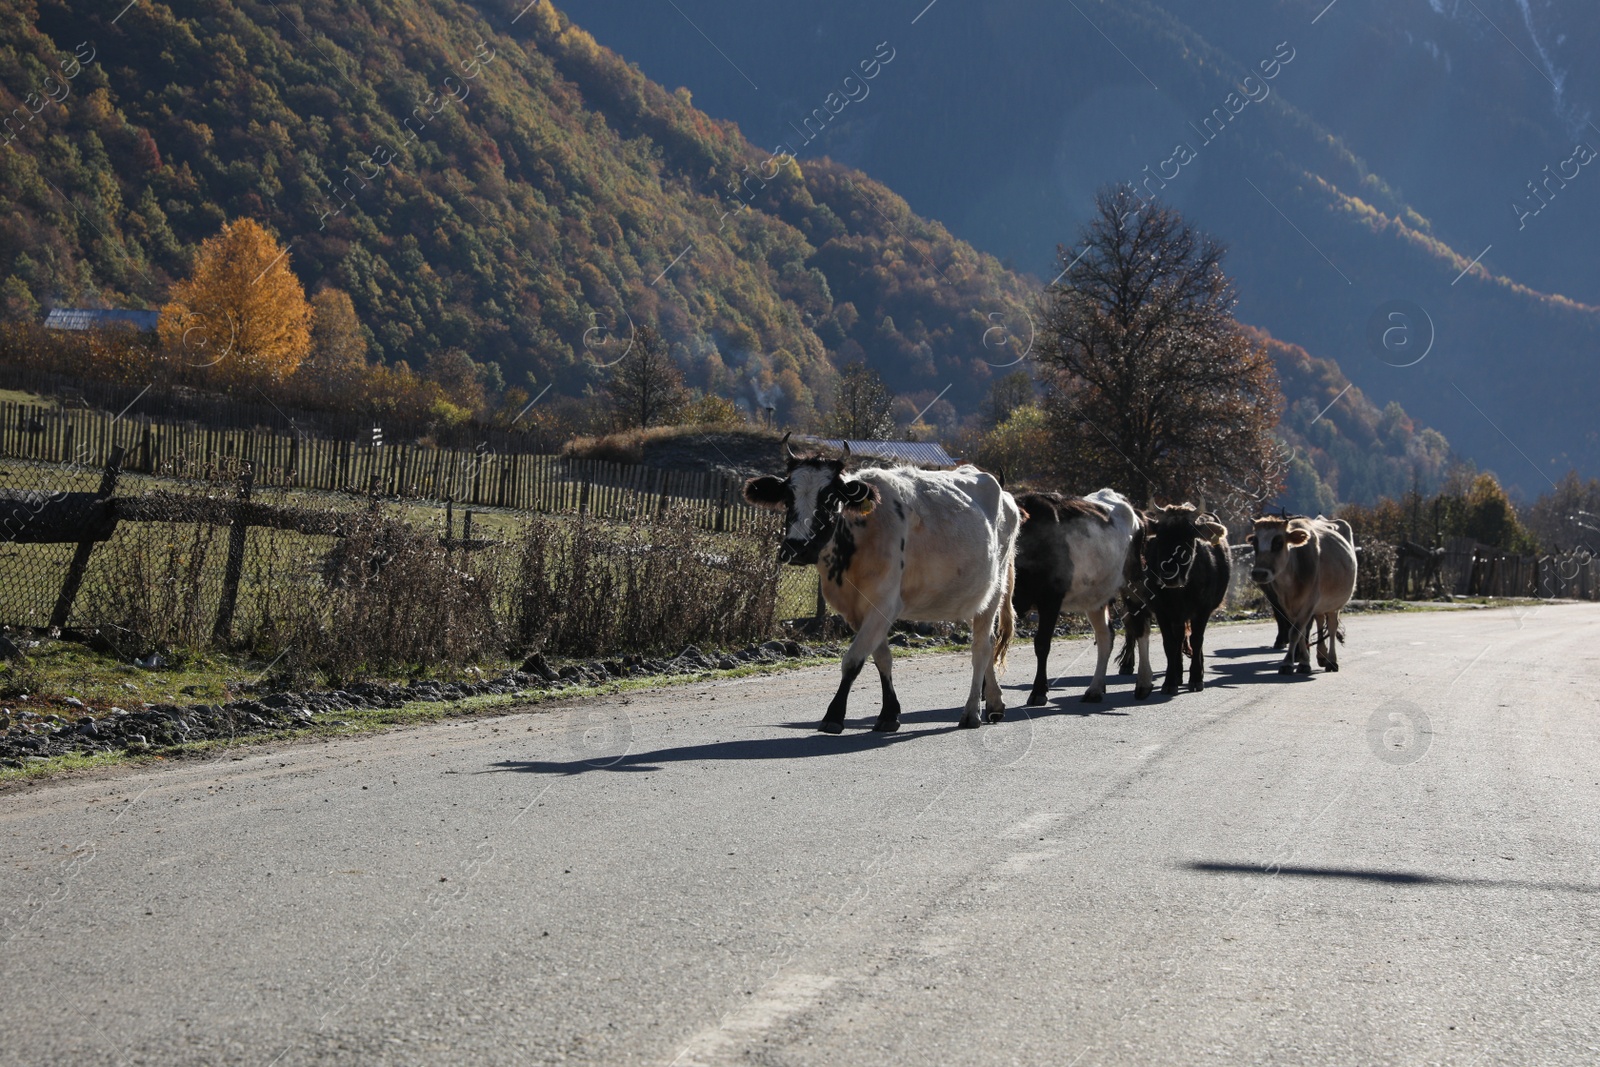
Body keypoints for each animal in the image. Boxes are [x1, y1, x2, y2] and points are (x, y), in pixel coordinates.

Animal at [742, 438, 1017, 729]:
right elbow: (882, 658)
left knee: (981, 648)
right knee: (987, 642)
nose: (797, 548)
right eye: (787, 497)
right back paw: (994, 703)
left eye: (830, 498)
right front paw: (888, 713)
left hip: (993, 592)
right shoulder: (856, 610)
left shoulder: (884, 603)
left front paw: (834, 715)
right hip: (967, 596)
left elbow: (853, 660)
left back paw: (972, 712)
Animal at [1011, 489, 1152, 703]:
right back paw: (1095, 688)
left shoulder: (1050, 599)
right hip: (1096, 596)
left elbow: (1042, 644)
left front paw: (1038, 692)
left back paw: (1143, 683)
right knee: (1105, 636)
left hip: (1132, 583)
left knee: (1140, 627)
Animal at [1120, 508, 1228, 697]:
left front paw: (1196, 678)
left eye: (1190, 537)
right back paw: (1129, 665)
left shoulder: (1202, 609)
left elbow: (1196, 640)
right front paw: (1170, 682)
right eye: (1160, 538)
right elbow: (1169, 644)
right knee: (1133, 627)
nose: (1170, 575)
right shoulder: (1161, 610)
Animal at [1241, 511, 1356, 671]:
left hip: (1335, 604)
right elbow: (1297, 630)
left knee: (1332, 627)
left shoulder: (1309, 603)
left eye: (1278, 543)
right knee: (1320, 620)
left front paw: (1289, 662)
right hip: (1320, 605)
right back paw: (1321, 656)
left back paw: (1332, 661)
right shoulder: (1285, 604)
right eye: (1255, 543)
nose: (1259, 573)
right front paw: (1303, 662)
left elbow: (1297, 631)